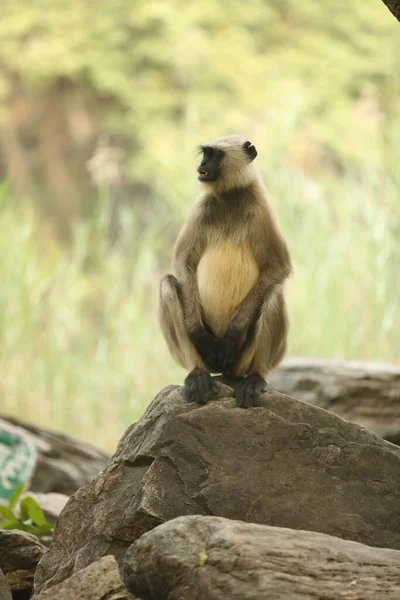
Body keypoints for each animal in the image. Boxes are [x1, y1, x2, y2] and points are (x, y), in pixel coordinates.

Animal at [158, 135, 292, 408]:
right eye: (205, 153)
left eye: (215, 155)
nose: (202, 164)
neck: (230, 197)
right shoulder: (201, 209)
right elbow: (183, 264)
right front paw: (200, 336)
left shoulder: (262, 209)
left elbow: (279, 268)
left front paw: (232, 337)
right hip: (209, 361)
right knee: (167, 283)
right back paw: (197, 374)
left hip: (242, 360)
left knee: (274, 292)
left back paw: (254, 377)